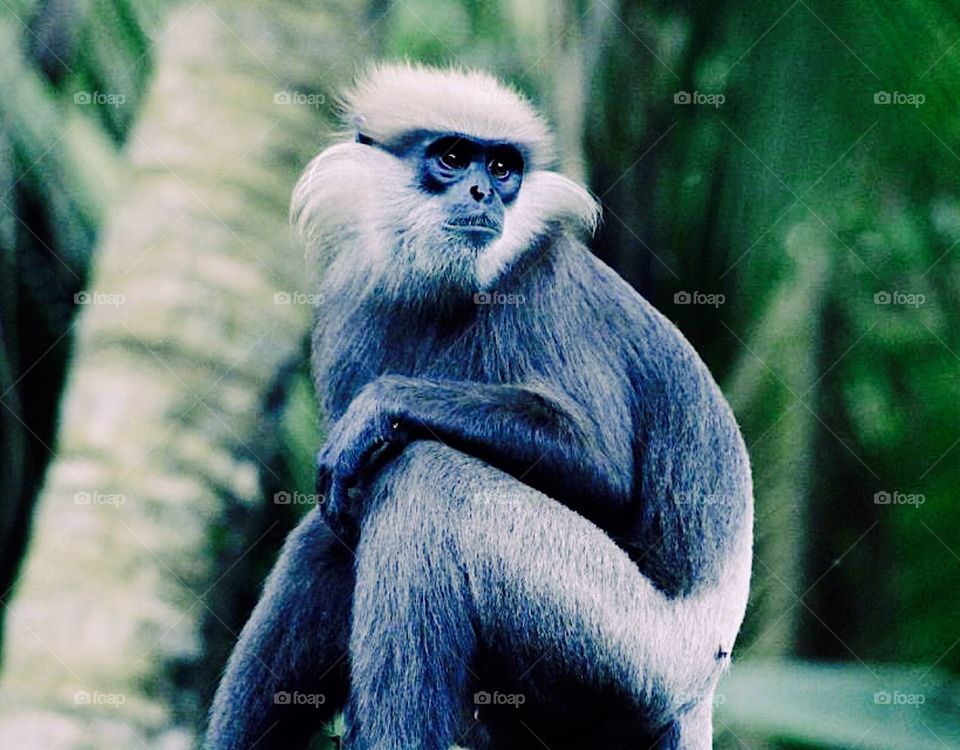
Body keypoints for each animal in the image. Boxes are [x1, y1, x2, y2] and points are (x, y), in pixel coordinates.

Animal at [206, 63, 753, 750]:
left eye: (501, 168)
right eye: (452, 157)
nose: (482, 194)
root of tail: (697, 689)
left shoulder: (539, 281)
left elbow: (602, 467)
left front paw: (382, 404)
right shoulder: (350, 306)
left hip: (626, 651)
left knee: (421, 478)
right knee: (333, 534)